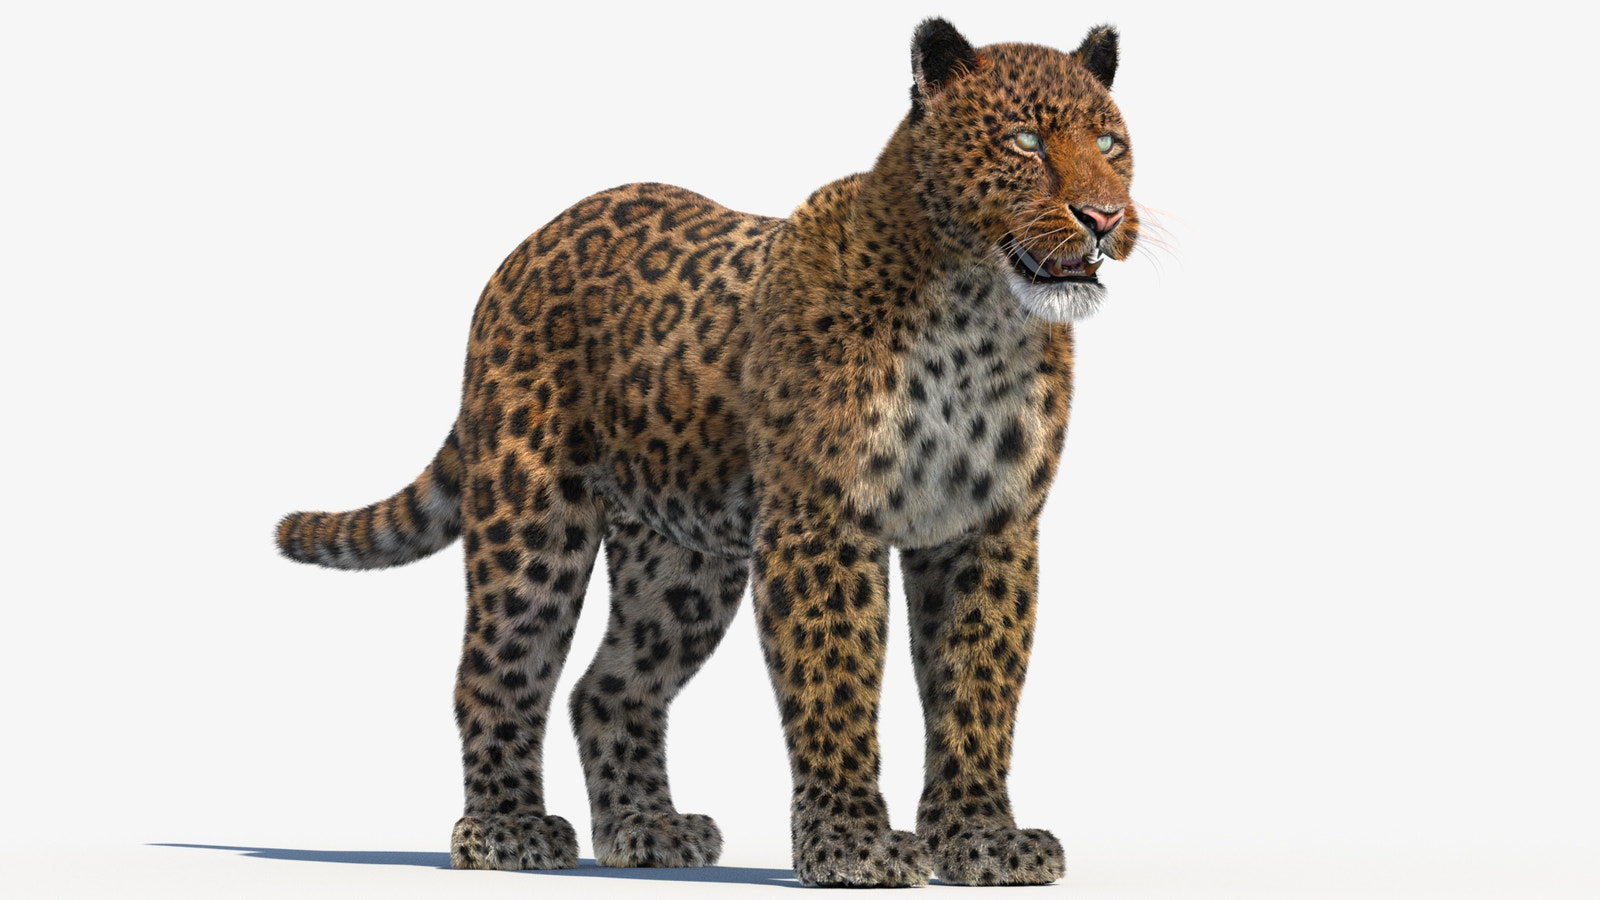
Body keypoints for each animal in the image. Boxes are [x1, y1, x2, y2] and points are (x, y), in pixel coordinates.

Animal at [276, 18, 1138, 887]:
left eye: (1109, 142)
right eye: (1025, 140)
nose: (1104, 216)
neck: (978, 315)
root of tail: (523, 252)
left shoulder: (987, 530)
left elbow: (978, 687)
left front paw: (981, 840)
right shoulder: (821, 525)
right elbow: (835, 679)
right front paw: (852, 847)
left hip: (680, 561)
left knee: (606, 687)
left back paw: (646, 829)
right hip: (532, 521)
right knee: (497, 668)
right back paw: (505, 830)